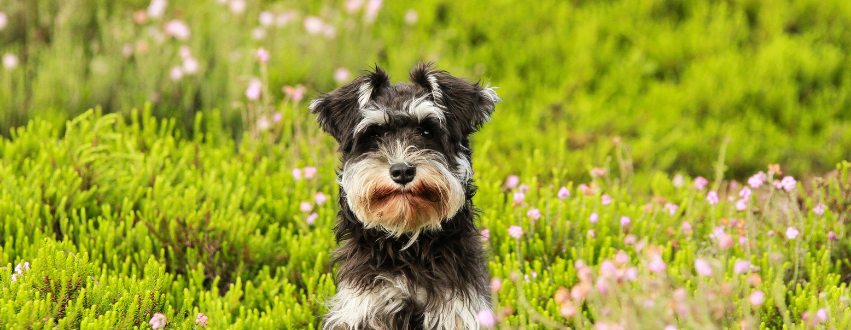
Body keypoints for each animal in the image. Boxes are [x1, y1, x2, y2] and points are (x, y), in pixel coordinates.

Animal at [312, 62, 500, 330]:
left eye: (427, 131)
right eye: (375, 134)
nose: (402, 171)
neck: (407, 244)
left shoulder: (458, 310)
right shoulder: (365, 306)